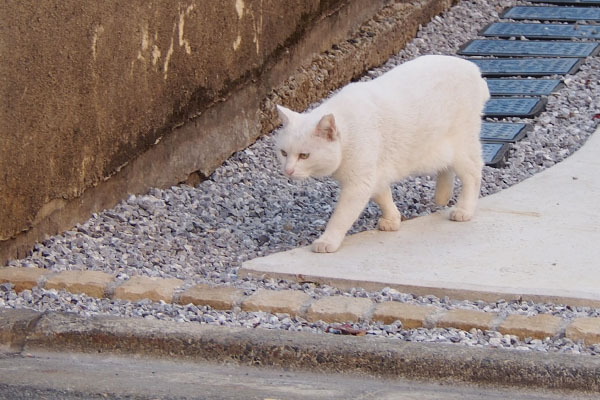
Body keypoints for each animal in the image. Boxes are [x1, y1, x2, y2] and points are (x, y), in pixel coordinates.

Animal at [274, 54, 490, 252]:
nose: (288, 171)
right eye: (284, 153)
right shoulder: (375, 175)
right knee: (446, 168)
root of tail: (473, 69)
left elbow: (340, 217)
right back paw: (442, 196)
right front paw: (392, 219)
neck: (348, 131)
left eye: (304, 156)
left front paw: (327, 241)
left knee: (473, 174)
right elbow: (383, 197)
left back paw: (463, 209)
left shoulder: (359, 184)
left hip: (462, 146)